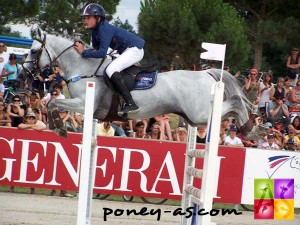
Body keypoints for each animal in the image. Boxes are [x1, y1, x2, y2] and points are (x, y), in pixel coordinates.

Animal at [21, 26, 264, 139]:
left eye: (33, 51)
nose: (23, 74)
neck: (85, 68)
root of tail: (205, 74)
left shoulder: (83, 103)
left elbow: (53, 103)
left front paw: (59, 128)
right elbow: (51, 103)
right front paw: (59, 127)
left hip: (199, 113)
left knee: (235, 102)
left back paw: (250, 130)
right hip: (195, 117)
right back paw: (248, 129)